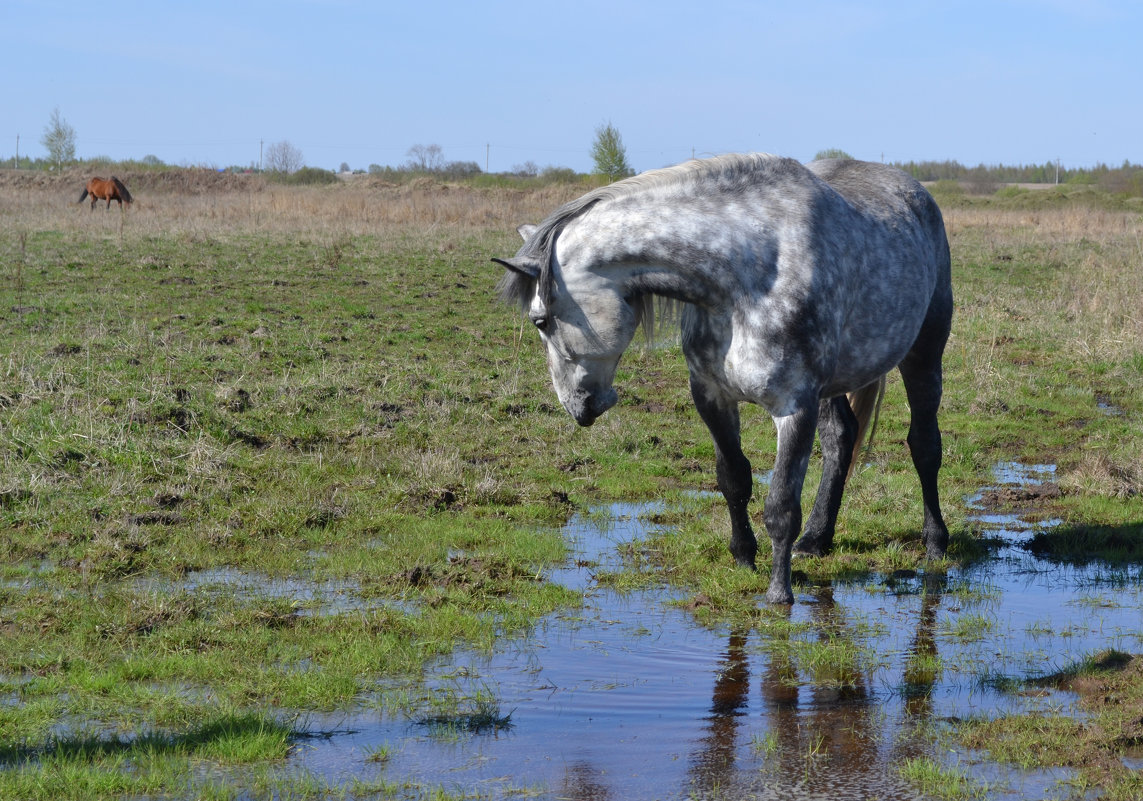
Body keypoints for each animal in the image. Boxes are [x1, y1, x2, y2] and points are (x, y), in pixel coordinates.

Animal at [496, 153, 950, 603]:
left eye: (540, 320)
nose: (577, 407)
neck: (746, 277)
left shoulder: (794, 406)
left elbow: (780, 504)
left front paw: (778, 593)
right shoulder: (711, 395)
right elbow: (734, 479)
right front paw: (744, 558)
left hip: (923, 354)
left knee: (924, 446)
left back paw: (935, 543)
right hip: (833, 386)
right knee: (841, 439)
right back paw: (815, 540)